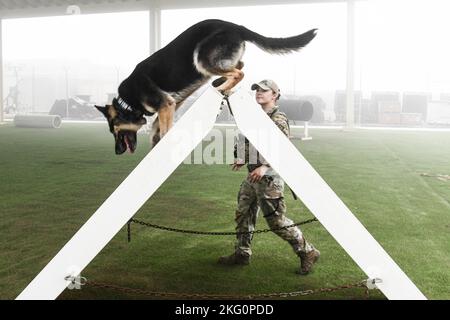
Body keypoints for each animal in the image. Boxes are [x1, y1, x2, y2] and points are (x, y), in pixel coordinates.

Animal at [95, 19, 316, 154]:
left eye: (114, 130)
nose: (117, 152)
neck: (128, 102)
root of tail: (237, 27)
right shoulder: (172, 103)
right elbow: (155, 130)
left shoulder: (166, 104)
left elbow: (164, 131)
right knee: (240, 65)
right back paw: (220, 83)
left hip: (202, 58)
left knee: (239, 72)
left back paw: (220, 86)